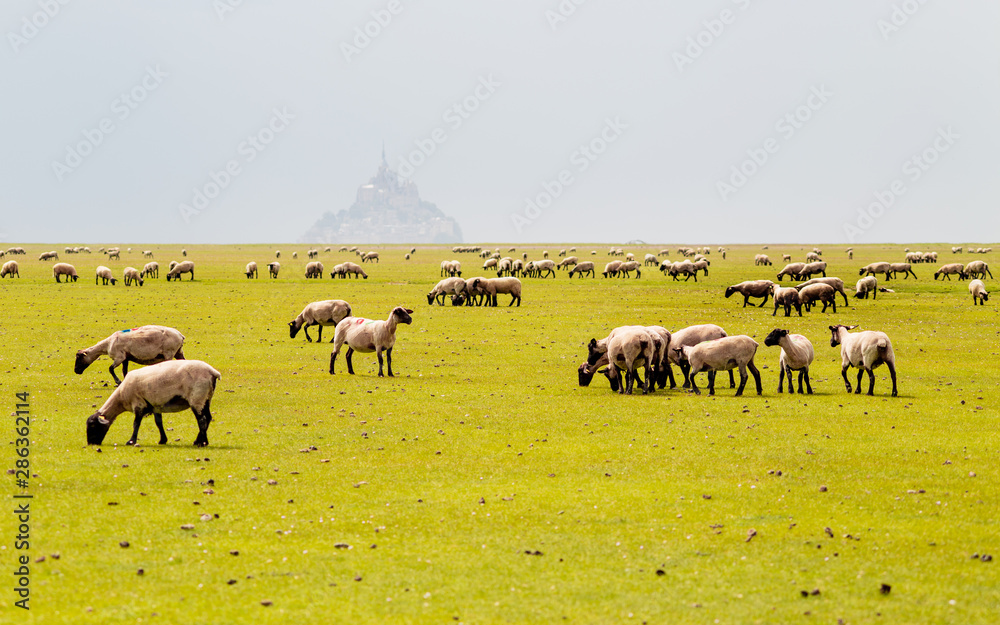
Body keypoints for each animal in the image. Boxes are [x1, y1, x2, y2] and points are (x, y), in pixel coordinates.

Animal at [85, 358, 220, 446]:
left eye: (92, 425)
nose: (91, 443)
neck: (121, 398)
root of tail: (212, 372)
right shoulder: (155, 405)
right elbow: (158, 423)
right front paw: (162, 440)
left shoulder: (138, 404)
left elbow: (136, 424)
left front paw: (131, 441)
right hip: (206, 397)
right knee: (208, 418)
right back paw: (200, 441)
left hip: (197, 398)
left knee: (201, 420)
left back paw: (201, 442)